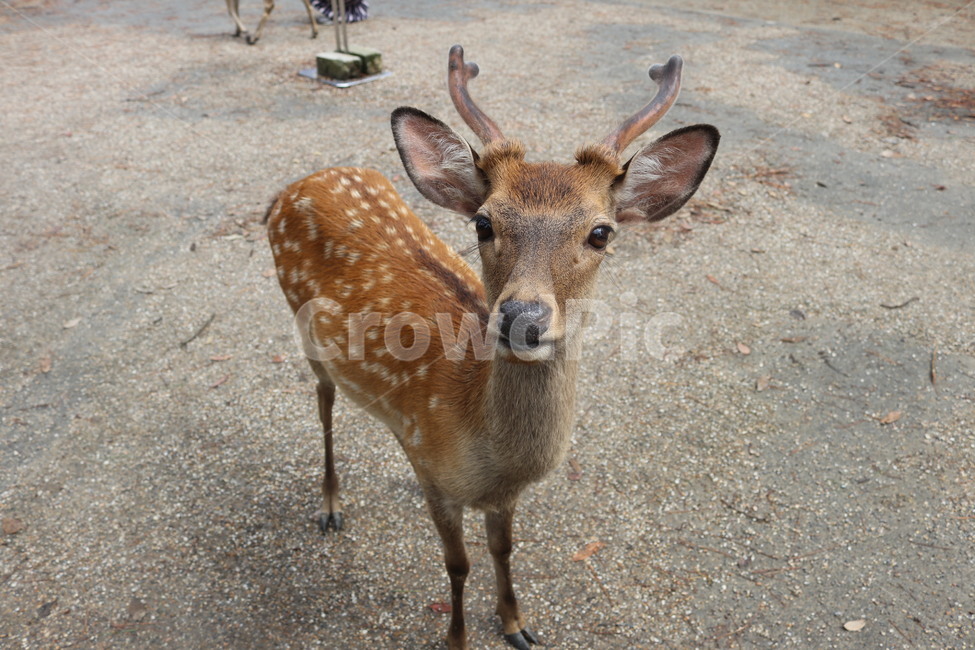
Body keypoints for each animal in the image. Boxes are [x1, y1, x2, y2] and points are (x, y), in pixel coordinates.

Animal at [266, 45, 719, 649]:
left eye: (601, 232)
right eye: (483, 222)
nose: (522, 317)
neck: (487, 453)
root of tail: (293, 187)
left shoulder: (497, 494)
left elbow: (503, 550)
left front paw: (516, 623)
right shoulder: (440, 479)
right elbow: (458, 565)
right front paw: (457, 637)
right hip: (302, 327)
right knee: (323, 402)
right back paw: (331, 506)